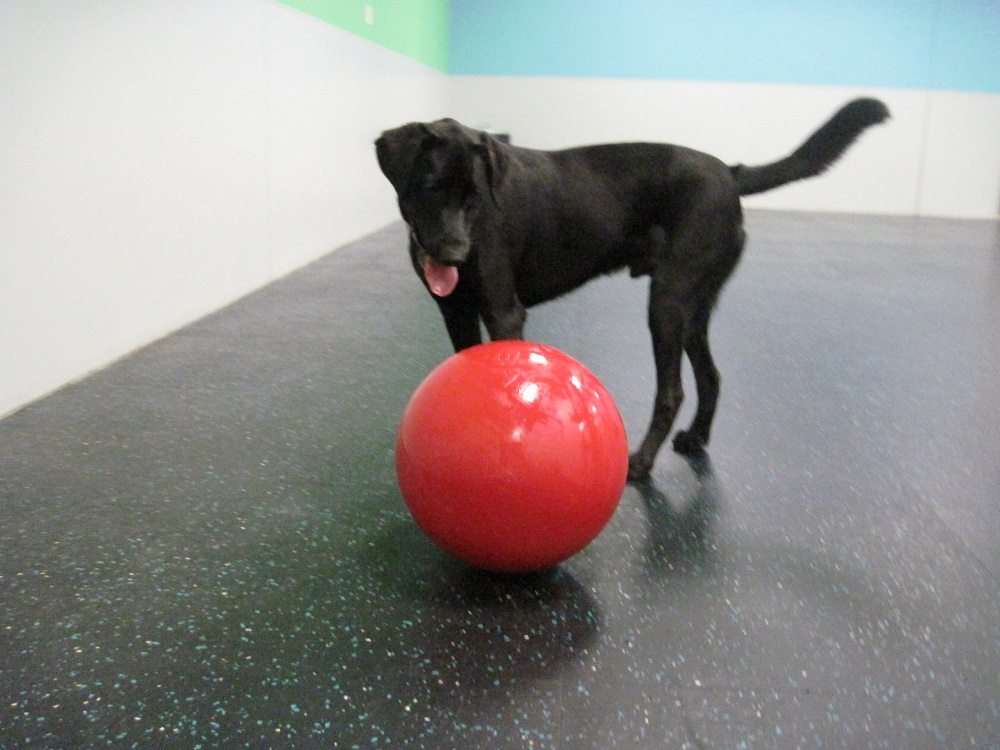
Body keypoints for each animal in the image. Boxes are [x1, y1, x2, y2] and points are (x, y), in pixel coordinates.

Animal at [376, 98, 889, 480]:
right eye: (429, 186)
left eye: (473, 196)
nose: (456, 253)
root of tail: (729, 171)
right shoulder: (456, 312)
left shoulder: (504, 312)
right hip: (693, 307)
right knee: (711, 375)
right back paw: (695, 438)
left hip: (667, 302)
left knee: (673, 390)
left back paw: (641, 462)